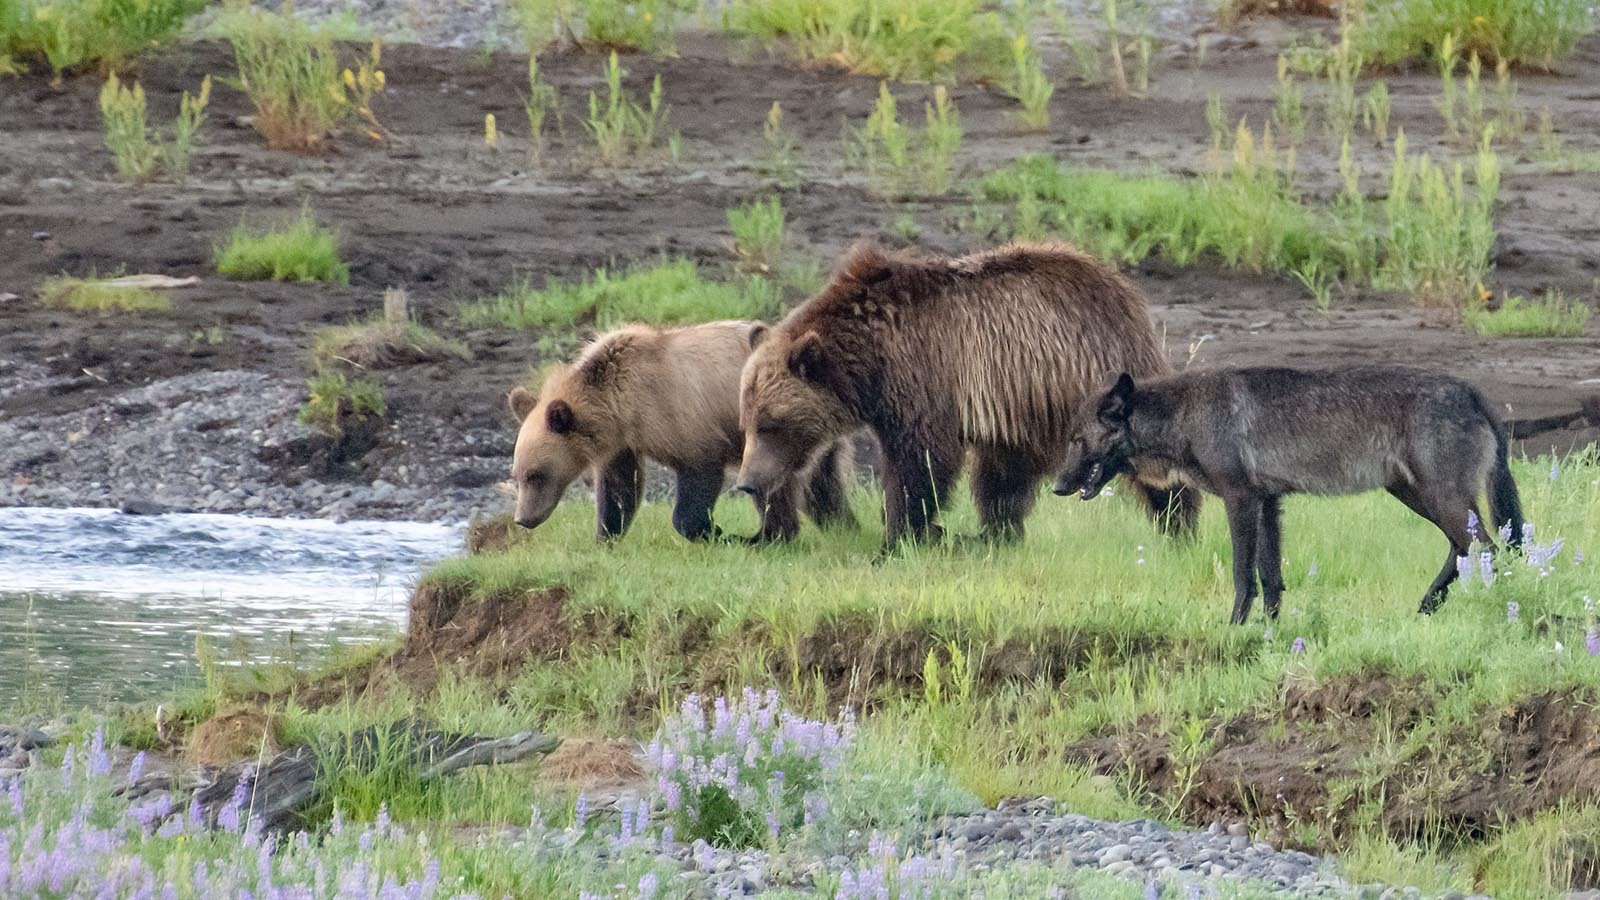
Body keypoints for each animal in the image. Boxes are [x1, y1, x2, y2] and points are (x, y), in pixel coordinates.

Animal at [505, 318, 857, 538]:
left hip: (779, 435)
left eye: (535, 474)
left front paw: (712, 530)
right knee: (822, 487)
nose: (523, 518)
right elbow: (620, 488)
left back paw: (767, 536)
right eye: (517, 475)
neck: (618, 404)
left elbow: (698, 473)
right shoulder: (624, 441)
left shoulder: (678, 416)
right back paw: (841, 526)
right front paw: (606, 536)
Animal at [732, 240, 1196, 547]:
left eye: (772, 424)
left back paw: (1178, 523)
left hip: (1098, 370)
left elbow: (921, 459)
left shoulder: (923, 372)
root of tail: (1120, 285)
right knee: (1003, 475)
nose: (747, 483)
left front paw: (899, 535)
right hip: (1022, 407)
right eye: (747, 423)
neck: (869, 359)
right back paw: (994, 532)